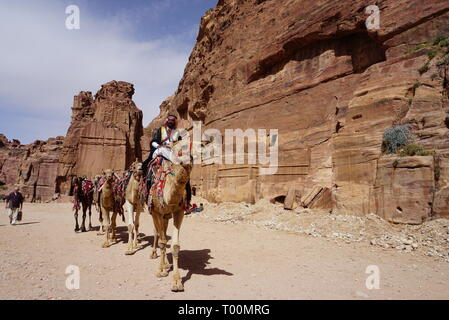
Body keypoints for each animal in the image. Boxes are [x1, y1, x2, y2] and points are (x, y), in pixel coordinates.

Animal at [145, 146, 191, 292]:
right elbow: (162, 242)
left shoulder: (179, 211)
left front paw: (176, 281)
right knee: (157, 233)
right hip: (154, 212)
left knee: (164, 233)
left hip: (166, 216)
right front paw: (160, 270)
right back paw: (155, 255)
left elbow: (175, 245)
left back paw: (166, 264)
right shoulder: (156, 212)